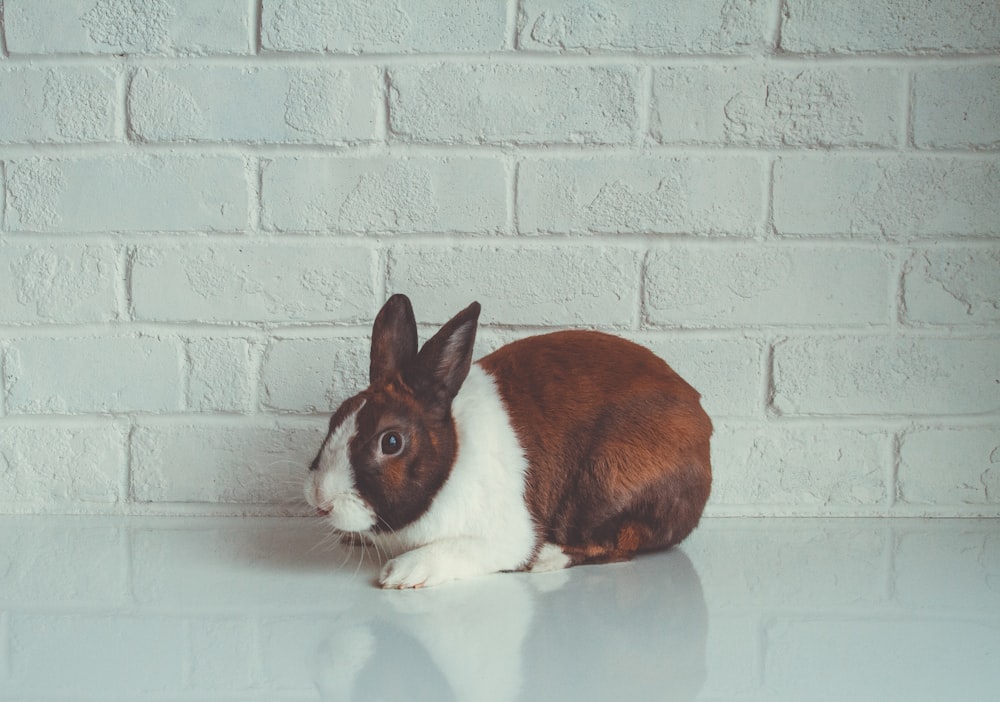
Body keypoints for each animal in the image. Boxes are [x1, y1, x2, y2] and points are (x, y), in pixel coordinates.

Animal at [304, 294, 712, 592]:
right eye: (337, 417)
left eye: (390, 441)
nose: (321, 501)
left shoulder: (503, 536)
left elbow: (459, 548)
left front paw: (403, 573)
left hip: (606, 482)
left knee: (620, 543)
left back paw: (547, 558)